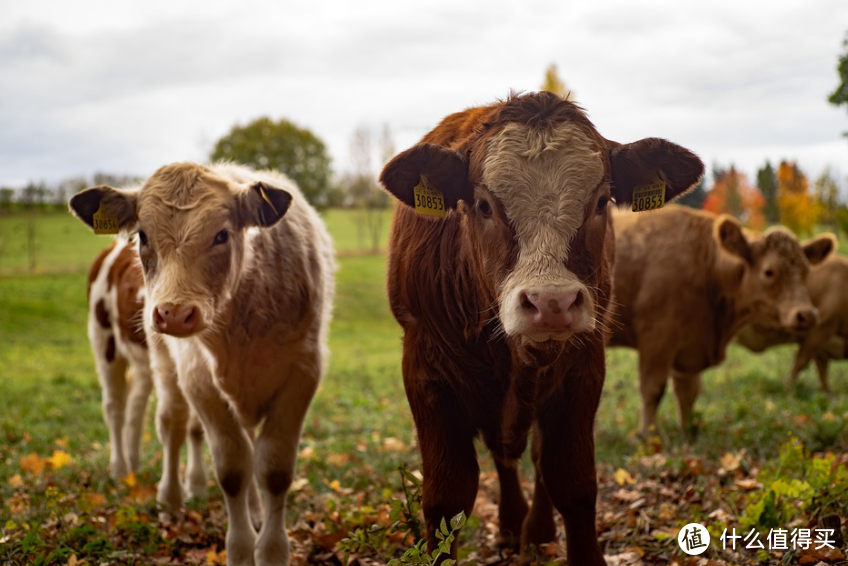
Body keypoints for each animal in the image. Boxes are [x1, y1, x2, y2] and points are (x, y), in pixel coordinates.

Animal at [70, 161, 334, 566]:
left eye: (222, 235)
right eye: (143, 236)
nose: (174, 314)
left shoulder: (302, 373)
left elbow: (272, 468)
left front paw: (270, 548)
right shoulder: (198, 378)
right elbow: (232, 468)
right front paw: (240, 550)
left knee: (145, 410)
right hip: (111, 345)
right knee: (144, 416)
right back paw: (144, 483)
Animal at [380, 91, 704, 564]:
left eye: (601, 202)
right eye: (484, 205)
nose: (552, 303)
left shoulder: (583, 368)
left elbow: (572, 482)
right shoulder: (425, 373)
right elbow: (446, 498)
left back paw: (535, 531)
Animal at [608, 207, 836, 440]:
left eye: (806, 272)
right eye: (769, 272)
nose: (807, 314)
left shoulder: (689, 348)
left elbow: (688, 394)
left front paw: (688, 433)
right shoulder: (656, 339)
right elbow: (653, 390)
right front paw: (648, 437)